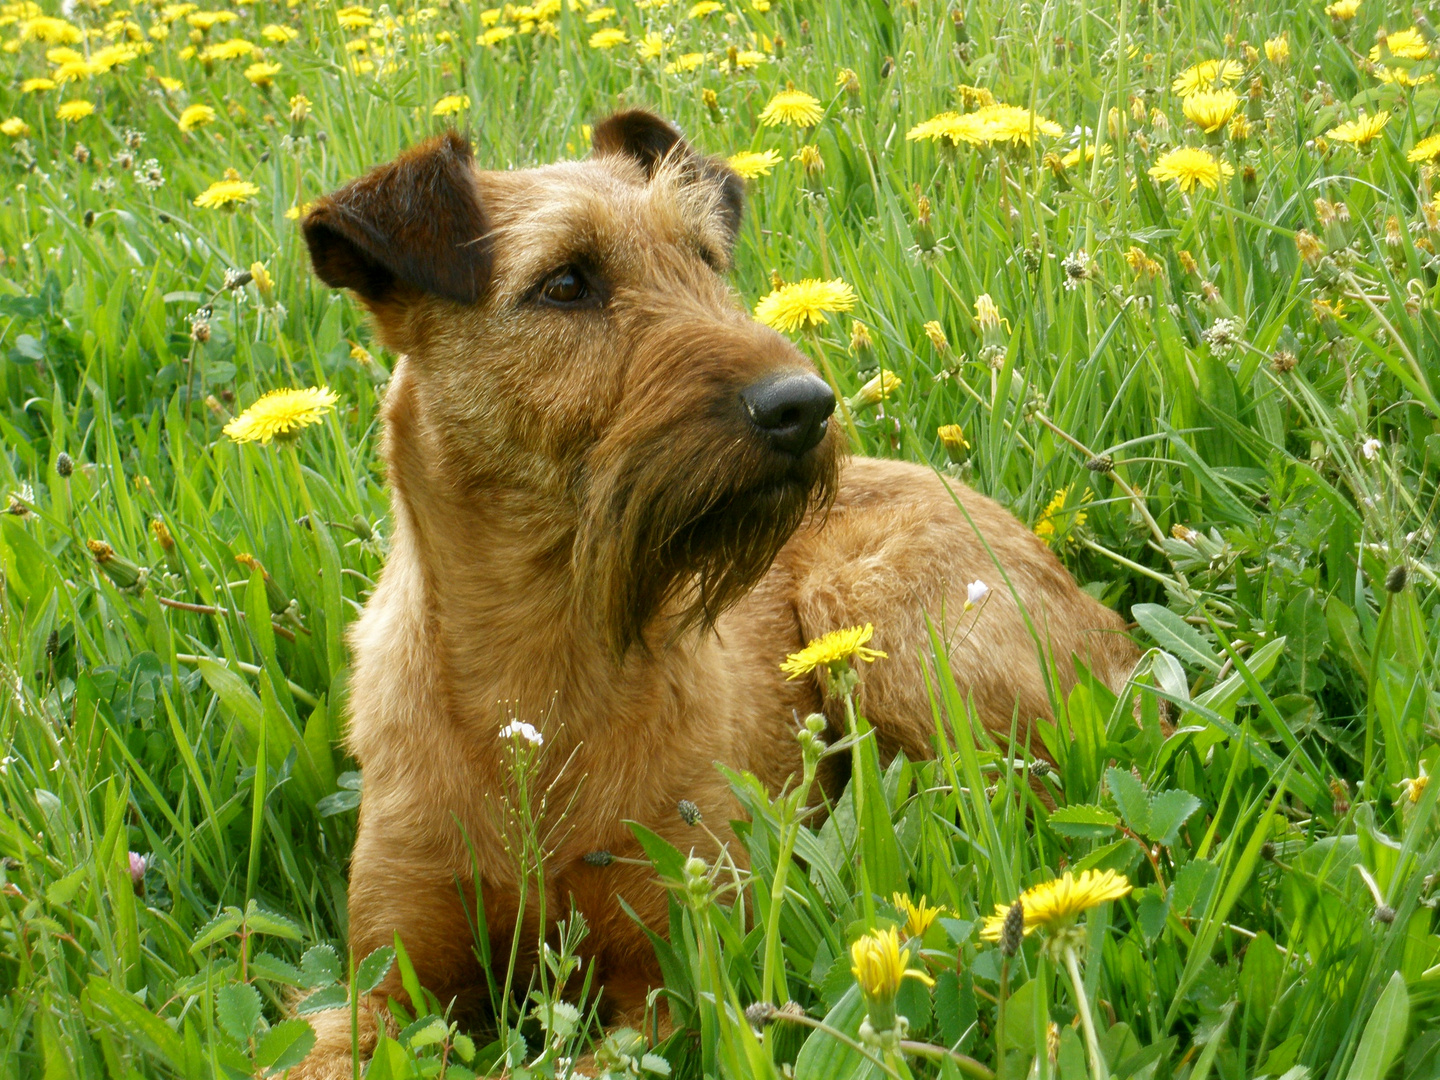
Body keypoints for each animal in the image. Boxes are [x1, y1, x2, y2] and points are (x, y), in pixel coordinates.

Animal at [292, 108, 1140, 1077]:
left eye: (704, 258)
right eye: (564, 283)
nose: (804, 404)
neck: (537, 675)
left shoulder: (671, 976)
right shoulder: (384, 982)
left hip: (881, 626)